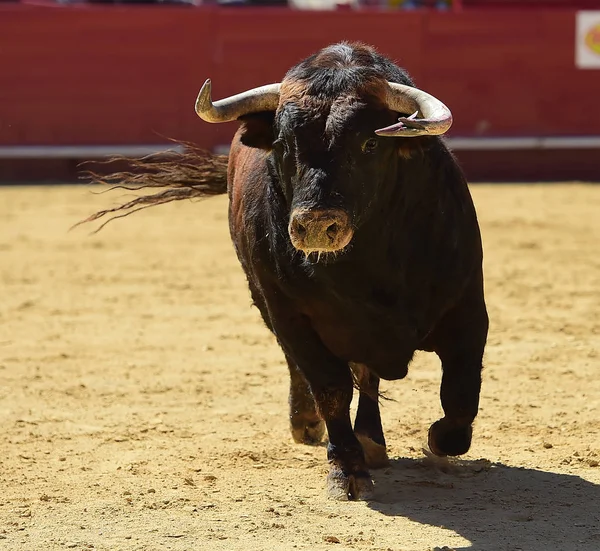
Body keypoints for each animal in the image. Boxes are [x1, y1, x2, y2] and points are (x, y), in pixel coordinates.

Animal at [84, 42, 488, 500]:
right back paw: (310, 424)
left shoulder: (468, 310)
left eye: (370, 143)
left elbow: (460, 395)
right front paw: (346, 470)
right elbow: (330, 387)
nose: (315, 224)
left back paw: (371, 441)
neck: (369, 265)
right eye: (281, 144)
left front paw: (435, 438)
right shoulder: (291, 315)